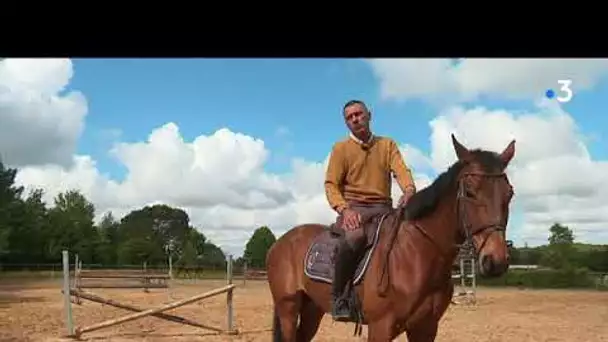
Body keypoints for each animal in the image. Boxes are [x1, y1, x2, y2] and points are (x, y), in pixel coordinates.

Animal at [266, 135, 512, 340]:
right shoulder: (381, 327)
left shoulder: (426, 327)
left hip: (312, 309)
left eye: (509, 193)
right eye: (469, 192)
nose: (496, 260)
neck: (416, 254)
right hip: (288, 308)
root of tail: (280, 242)